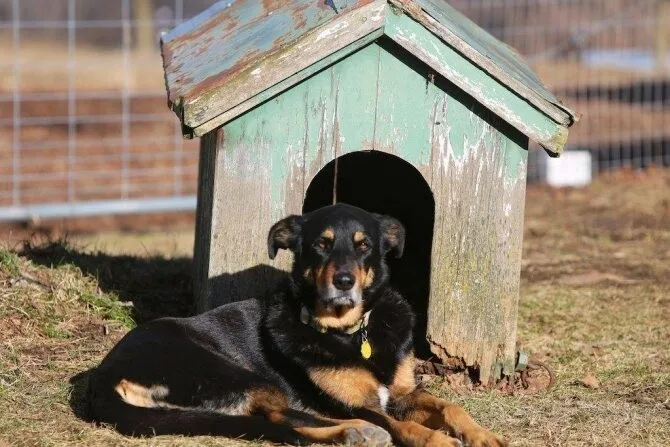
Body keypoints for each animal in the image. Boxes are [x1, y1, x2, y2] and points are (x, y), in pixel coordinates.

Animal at [90, 204, 510, 447]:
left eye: (363, 245)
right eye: (321, 245)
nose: (344, 281)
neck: (352, 332)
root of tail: (105, 373)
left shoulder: (404, 394)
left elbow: (451, 407)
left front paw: (483, 435)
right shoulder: (351, 402)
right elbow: (400, 425)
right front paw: (437, 441)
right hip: (235, 374)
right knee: (280, 419)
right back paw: (355, 432)